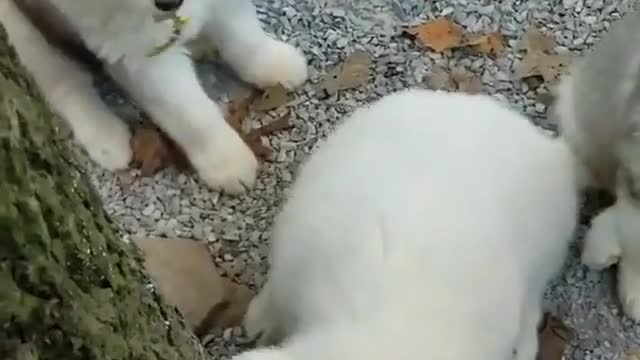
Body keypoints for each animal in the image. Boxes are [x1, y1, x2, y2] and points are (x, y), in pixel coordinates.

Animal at [0, 0, 310, 194]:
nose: (169, 4)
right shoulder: (136, 50)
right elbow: (190, 112)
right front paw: (225, 159)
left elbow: (243, 35)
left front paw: (270, 62)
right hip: (17, 28)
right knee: (63, 82)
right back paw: (105, 135)